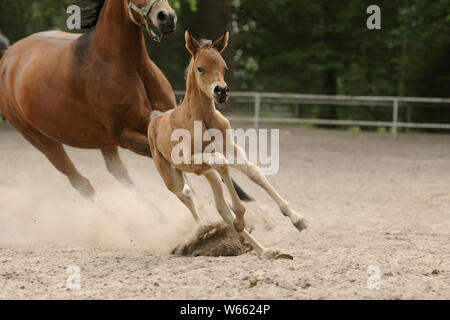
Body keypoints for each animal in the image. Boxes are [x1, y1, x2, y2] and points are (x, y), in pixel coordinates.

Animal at [0, 1, 250, 202]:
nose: (167, 17)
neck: (130, 65)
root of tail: (8, 56)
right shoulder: (127, 136)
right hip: (43, 141)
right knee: (82, 184)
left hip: (99, 137)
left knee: (119, 173)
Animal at [149, 31, 308, 258]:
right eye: (200, 68)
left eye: (224, 67)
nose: (221, 91)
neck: (203, 118)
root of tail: (155, 118)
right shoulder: (192, 162)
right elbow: (221, 163)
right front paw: (240, 215)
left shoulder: (230, 150)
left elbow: (253, 172)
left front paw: (298, 218)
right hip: (173, 178)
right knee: (187, 194)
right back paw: (203, 228)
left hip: (208, 174)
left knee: (221, 208)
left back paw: (265, 251)